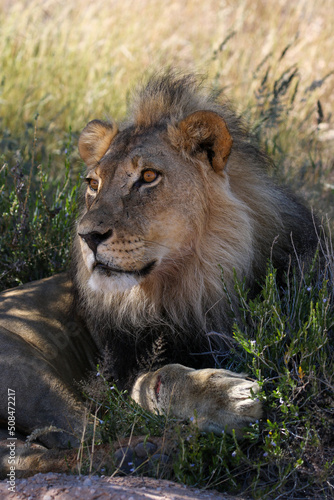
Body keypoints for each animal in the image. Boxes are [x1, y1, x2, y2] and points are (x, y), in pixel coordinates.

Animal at [0, 73, 318, 450]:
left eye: (148, 177)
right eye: (93, 183)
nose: (86, 236)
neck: (190, 285)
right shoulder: (115, 374)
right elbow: (154, 378)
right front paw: (228, 397)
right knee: (86, 439)